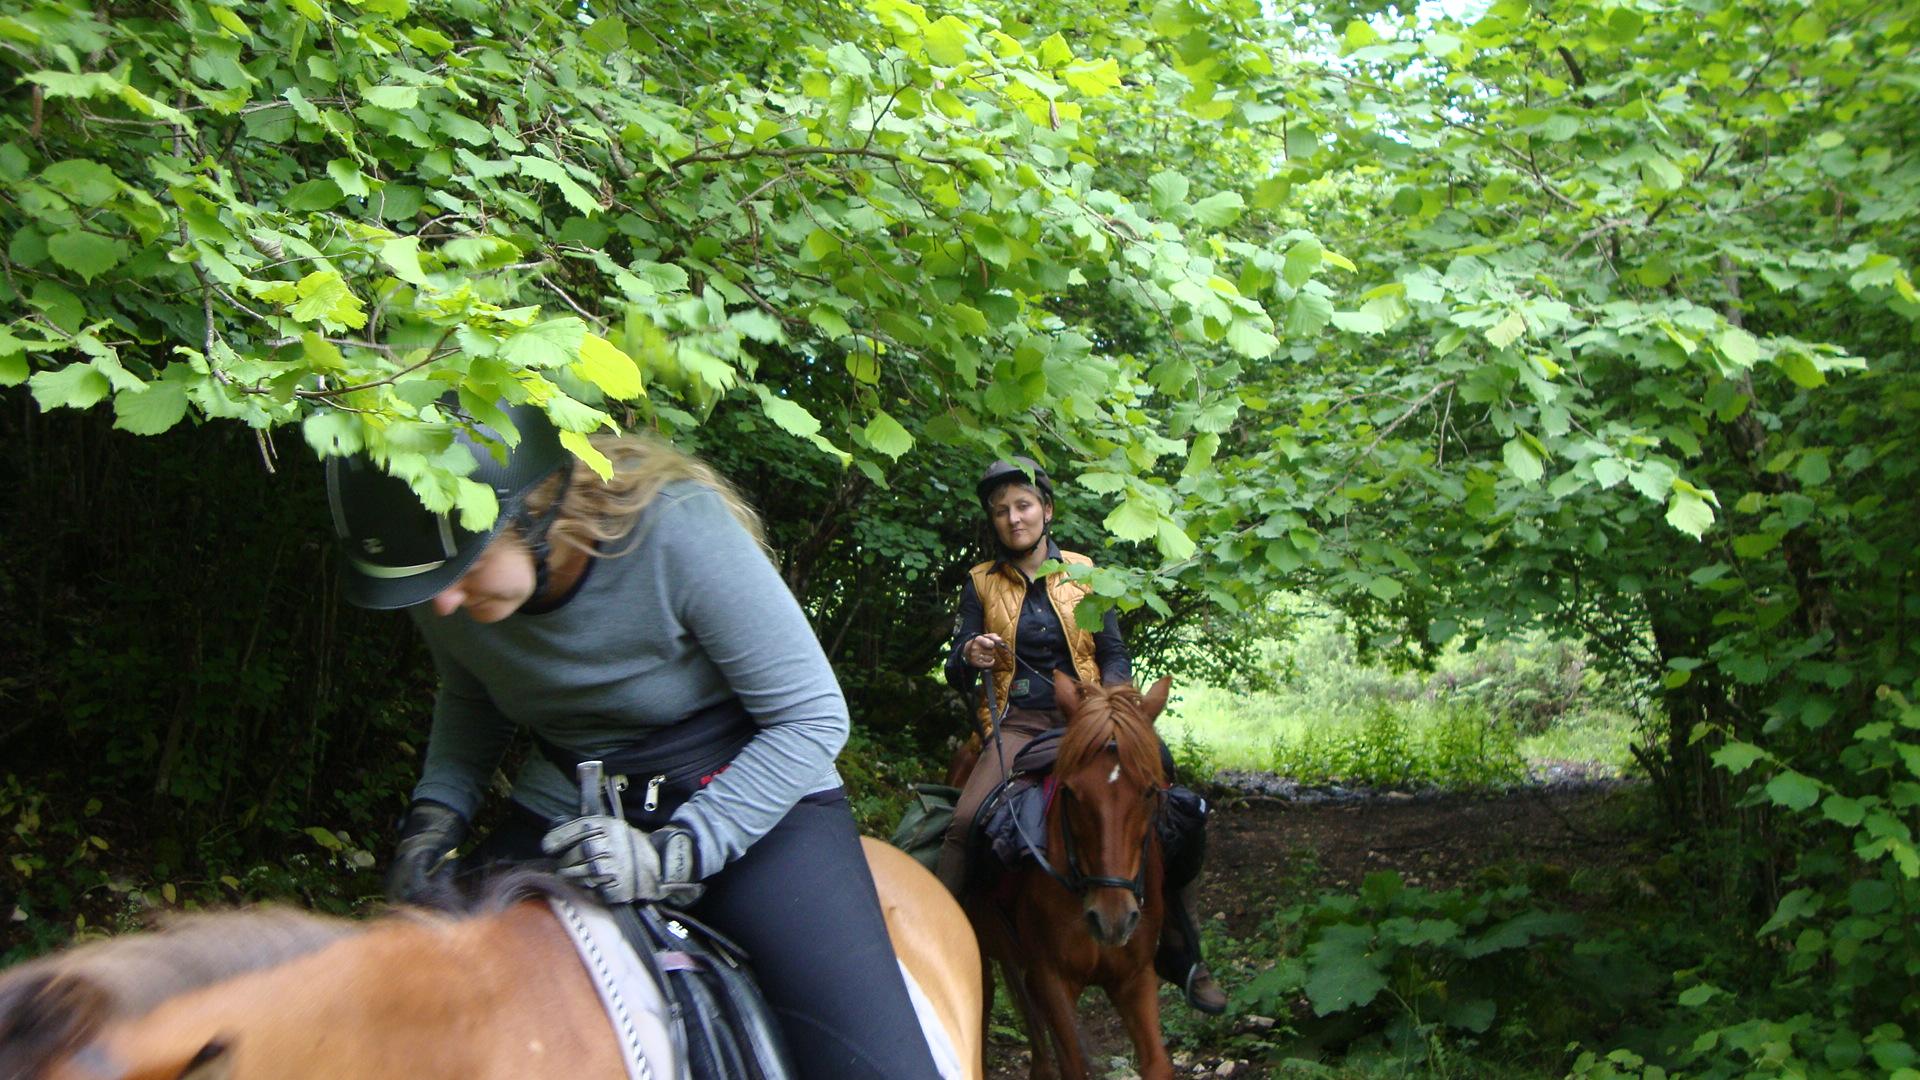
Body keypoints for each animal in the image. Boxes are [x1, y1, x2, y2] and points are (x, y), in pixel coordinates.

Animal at [967, 668, 1175, 1076]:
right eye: (1070, 792)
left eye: (1148, 791)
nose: (1112, 920)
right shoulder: (1053, 978)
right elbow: (1076, 1065)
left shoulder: (1135, 977)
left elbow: (1158, 1063)